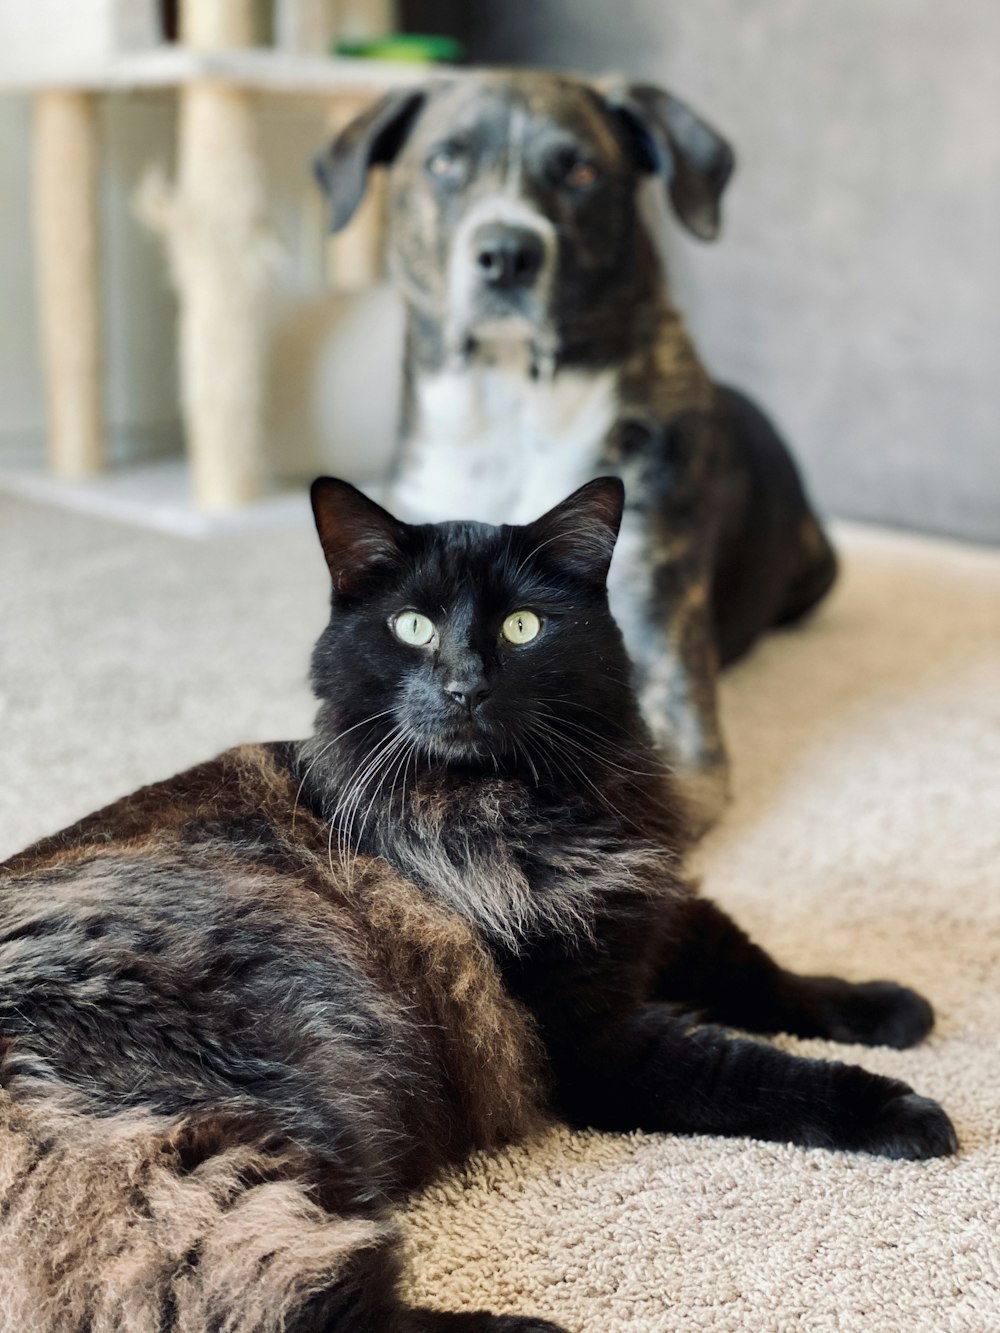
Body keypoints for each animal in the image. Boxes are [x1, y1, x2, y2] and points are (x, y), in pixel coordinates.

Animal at [0, 482, 954, 1333]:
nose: (464, 685)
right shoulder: (594, 1040)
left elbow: (772, 976)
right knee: (297, 1313)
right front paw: (905, 1112)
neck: (532, 800)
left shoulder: (652, 909)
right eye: (411, 626)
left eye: (523, 626)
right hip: (211, 1163)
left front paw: (884, 1006)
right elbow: (758, 1071)